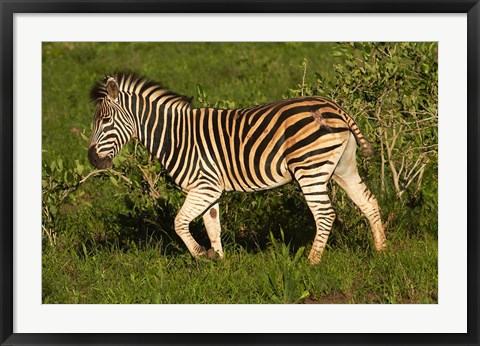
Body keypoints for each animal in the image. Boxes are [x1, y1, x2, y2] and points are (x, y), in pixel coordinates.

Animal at [87, 72, 386, 262]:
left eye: (105, 121)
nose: (93, 160)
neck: (176, 135)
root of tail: (335, 107)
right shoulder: (209, 189)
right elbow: (212, 226)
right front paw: (219, 263)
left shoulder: (205, 186)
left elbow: (179, 223)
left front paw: (201, 255)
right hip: (342, 167)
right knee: (369, 202)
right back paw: (382, 251)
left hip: (310, 169)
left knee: (325, 214)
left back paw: (312, 263)